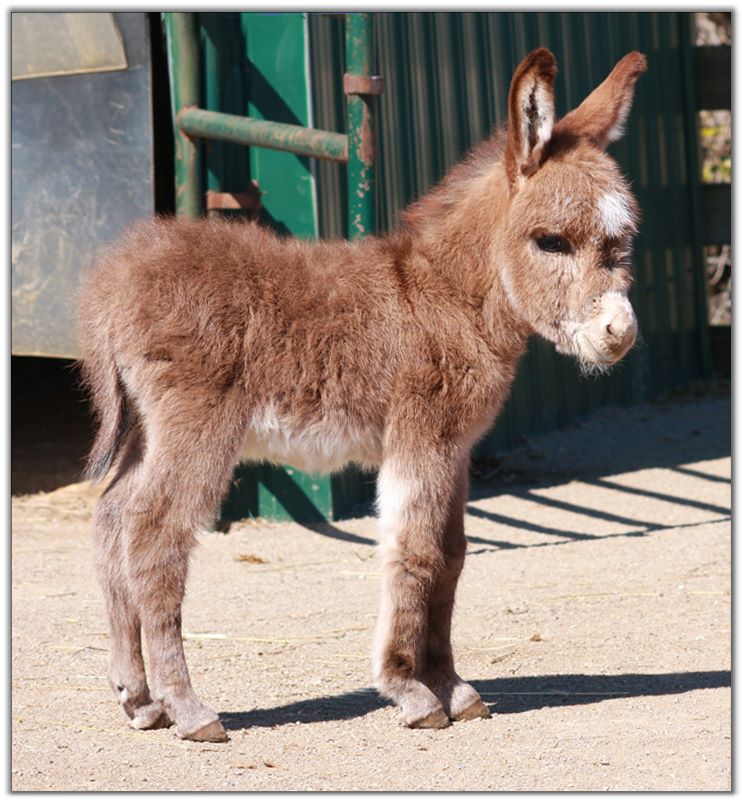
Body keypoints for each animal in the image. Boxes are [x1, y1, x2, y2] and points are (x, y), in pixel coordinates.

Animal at [79, 48, 646, 742]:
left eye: (621, 243)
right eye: (551, 241)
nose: (619, 335)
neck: (444, 297)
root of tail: (113, 280)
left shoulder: (454, 449)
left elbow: (451, 556)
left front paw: (454, 687)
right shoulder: (419, 438)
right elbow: (414, 553)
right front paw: (411, 691)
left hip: (145, 428)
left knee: (111, 521)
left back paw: (138, 697)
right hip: (197, 425)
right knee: (155, 534)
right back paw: (189, 708)